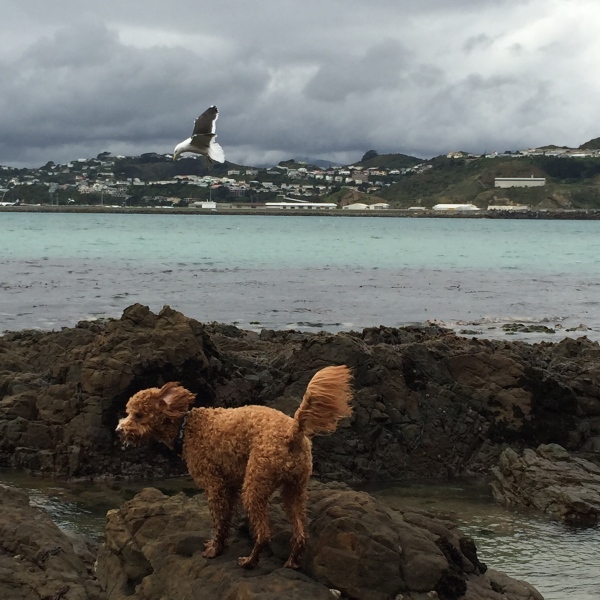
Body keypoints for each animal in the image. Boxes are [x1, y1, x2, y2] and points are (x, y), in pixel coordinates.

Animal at [115, 366, 354, 568]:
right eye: (128, 412)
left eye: (138, 415)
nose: (119, 430)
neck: (186, 427)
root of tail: (292, 432)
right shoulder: (229, 486)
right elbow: (227, 518)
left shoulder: (214, 485)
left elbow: (219, 521)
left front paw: (215, 550)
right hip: (295, 489)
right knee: (300, 532)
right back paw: (292, 562)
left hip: (254, 485)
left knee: (264, 533)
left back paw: (250, 561)